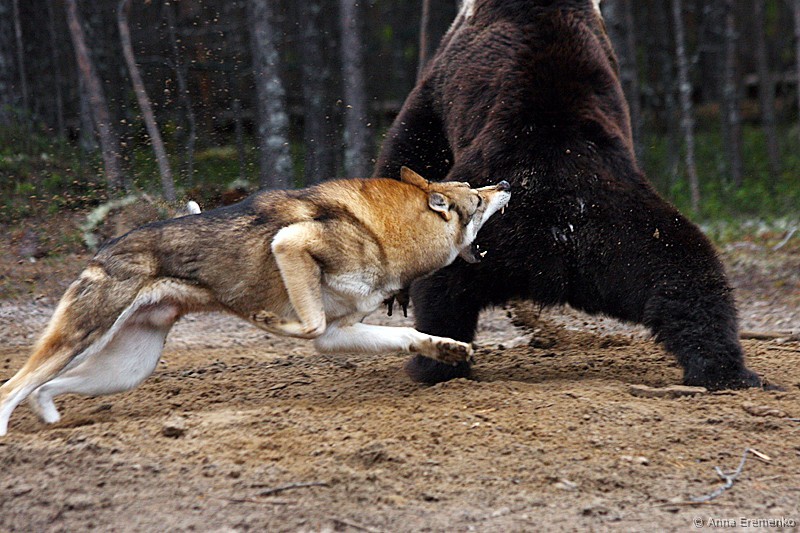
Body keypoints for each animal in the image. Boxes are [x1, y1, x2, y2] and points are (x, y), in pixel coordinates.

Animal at [0, 167, 511, 436]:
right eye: (476, 198)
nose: (505, 185)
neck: (384, 233)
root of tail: (102, 248)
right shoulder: (292, 245)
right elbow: (306, 323)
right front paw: (270, 322)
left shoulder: (339, 332)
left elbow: (407, 333)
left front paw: (449, 349)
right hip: (78, 340)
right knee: (12, 388)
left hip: (126, 369)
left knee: (43, 389)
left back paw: (49, 415)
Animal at [372, 0, 768, 390]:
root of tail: (558, 228)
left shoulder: (444, 71)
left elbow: (413, 141)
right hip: (631, 235)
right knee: (692, 274)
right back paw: (729, 372)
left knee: (441, 292)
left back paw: (433, 364)